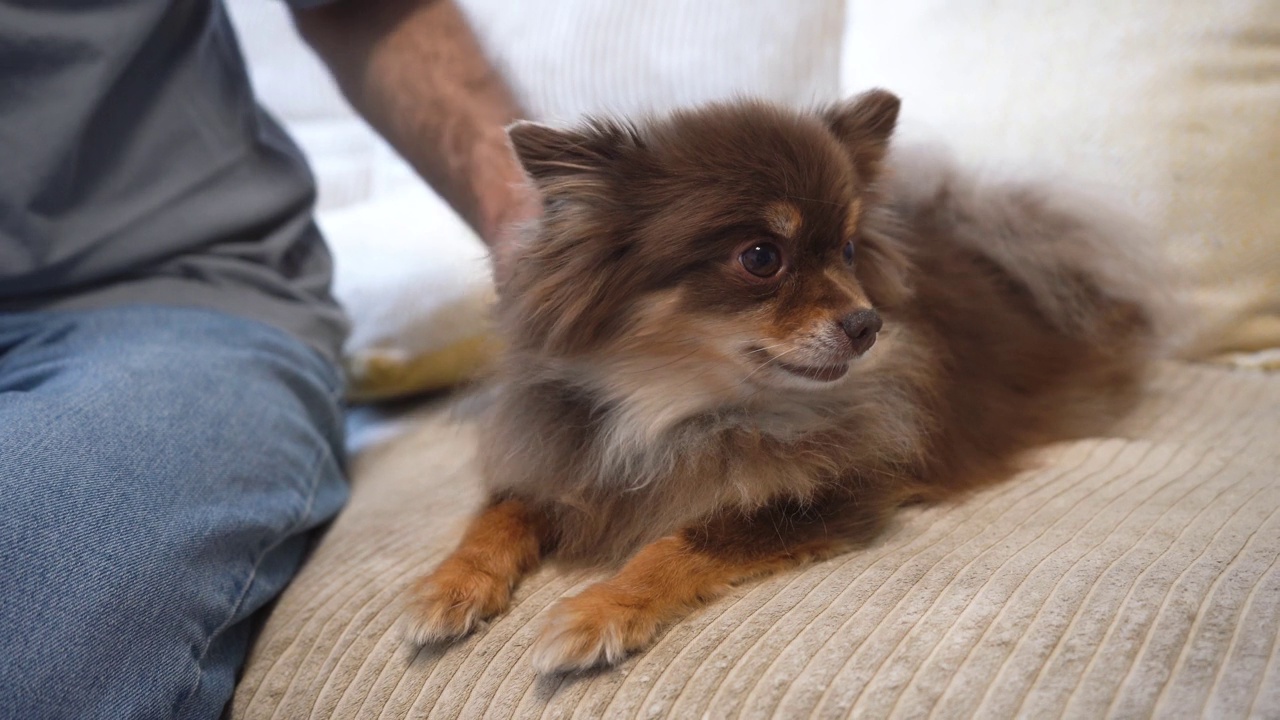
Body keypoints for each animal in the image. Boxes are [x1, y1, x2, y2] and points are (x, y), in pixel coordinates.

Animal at [404, 89, 1167, 671]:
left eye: (850, 252)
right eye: (761, 257)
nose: (867, 323)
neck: (676, 409)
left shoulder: (833, 495)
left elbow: (685, 540)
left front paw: (599, 610)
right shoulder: (559, 457)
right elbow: (500, 512)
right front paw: (450, 584)